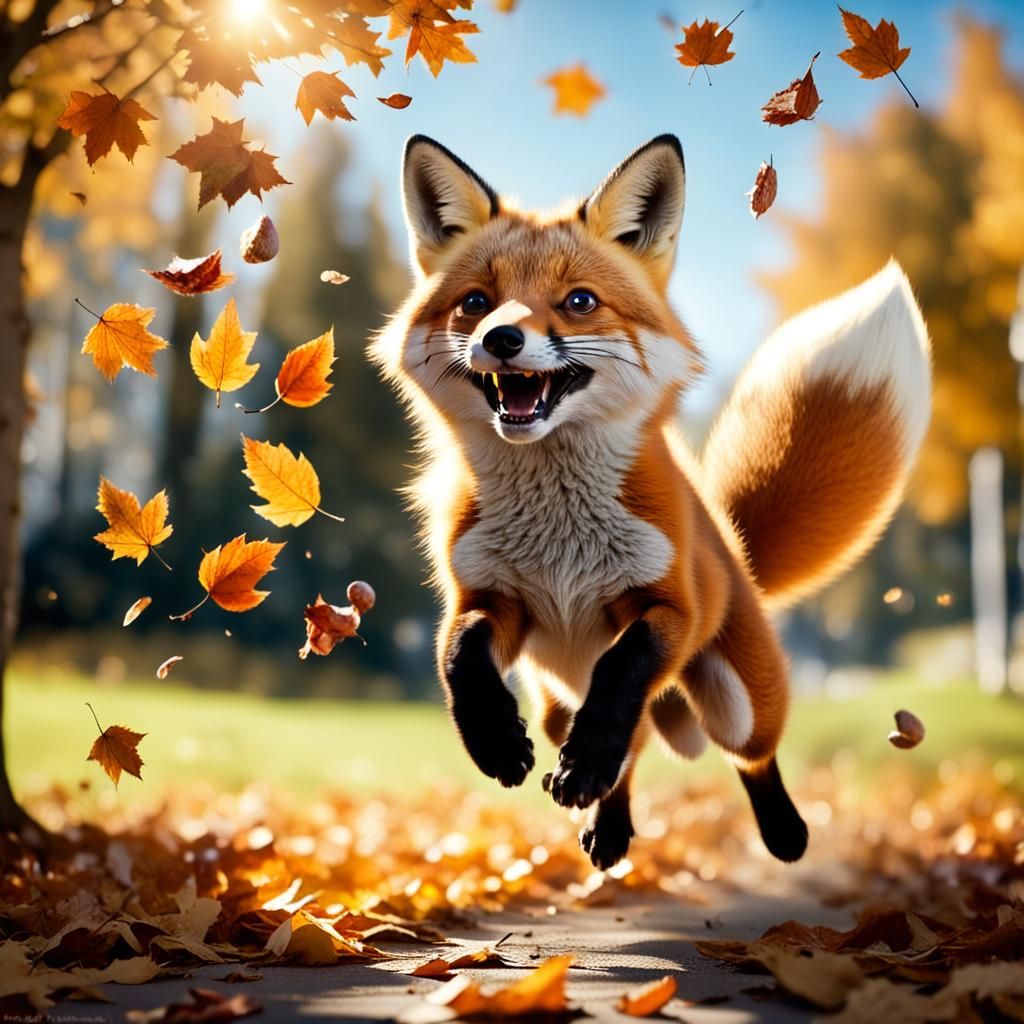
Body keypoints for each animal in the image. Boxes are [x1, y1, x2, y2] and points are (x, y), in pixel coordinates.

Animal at [372, 134, 931, 869]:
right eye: (476, 301)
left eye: (579, 301)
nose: (501, 338)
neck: (557, 539)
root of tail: (736, 550)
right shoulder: (493, 599)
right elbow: (458, 654)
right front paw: (495, 742)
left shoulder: (670, 607)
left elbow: (621, 667)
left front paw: (583, 760)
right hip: (556, 706)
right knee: (628, 753)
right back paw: (606, 823)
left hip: (741, 701)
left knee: (748, 753)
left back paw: (783, 833)